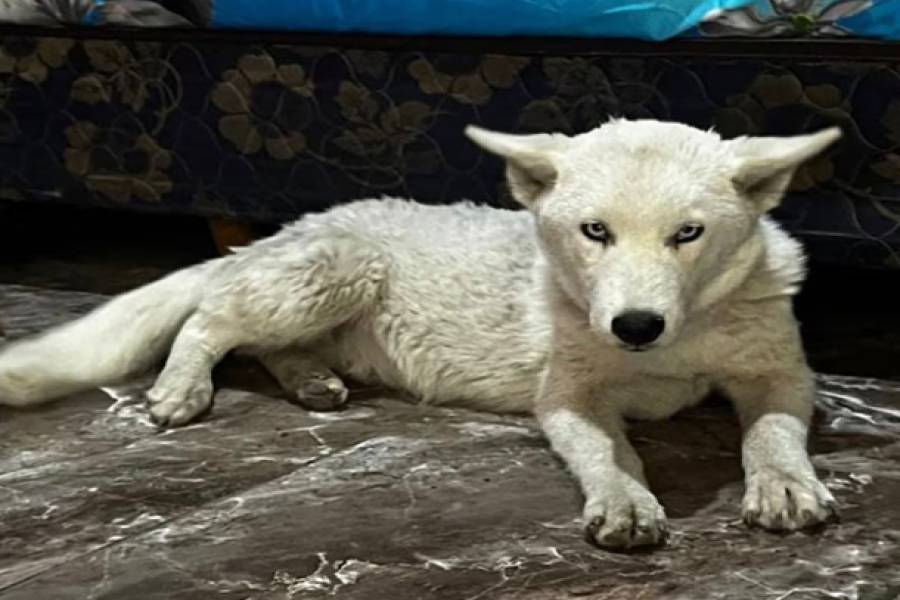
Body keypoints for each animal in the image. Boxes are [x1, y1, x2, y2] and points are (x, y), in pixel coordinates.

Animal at [0, 119, 841, 549]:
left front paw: (784, 482)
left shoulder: (781, 375)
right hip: (336, 270)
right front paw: (627, 501)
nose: (635, 326)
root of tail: (290, 227)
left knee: (264, 344)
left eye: (689, 234)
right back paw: (180, 389)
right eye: (594, 232)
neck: (681, 338)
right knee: (211, 321)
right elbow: (610, 450)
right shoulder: (569, 397)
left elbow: (771, 429)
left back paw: (313, 382)